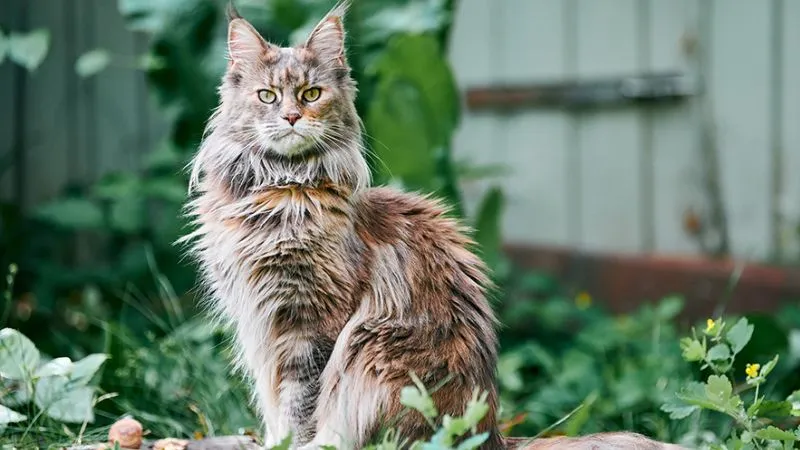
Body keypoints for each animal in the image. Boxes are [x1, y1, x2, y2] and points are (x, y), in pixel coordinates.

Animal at [181, 1, 688, 448]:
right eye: (267, 96)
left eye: (311, 95)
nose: (290, 116)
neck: (279, 190)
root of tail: (490, 438)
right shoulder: (260, 325)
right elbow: (275, 412)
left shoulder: (310, 326)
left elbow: (299, 409)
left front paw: (290, 445)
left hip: (373, 350)